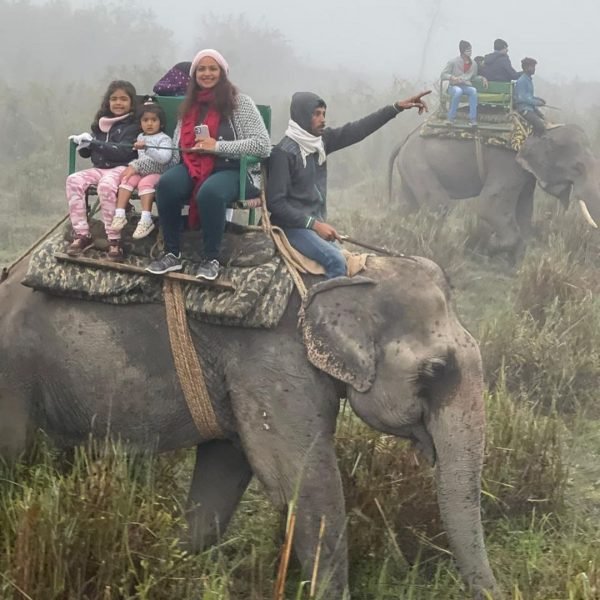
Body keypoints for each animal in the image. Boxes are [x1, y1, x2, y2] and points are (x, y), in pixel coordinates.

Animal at [0, 254, 500, 600]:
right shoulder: (271, 358)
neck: (348, 268)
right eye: (436, 371)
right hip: (15, 379)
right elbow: (303, 480)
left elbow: (226, 470)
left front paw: (175, 563)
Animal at [390, 124, 600, 258]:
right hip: (418, 164)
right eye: (578, 167)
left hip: (409, 169)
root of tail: (404, 140)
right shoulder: (507, 163)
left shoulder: (525, 175)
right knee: (438, 204)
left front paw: (516, 263)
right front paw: (489, 246)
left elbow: (525, 210)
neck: (542, 127)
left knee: (408, 205)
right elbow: (488, 206)